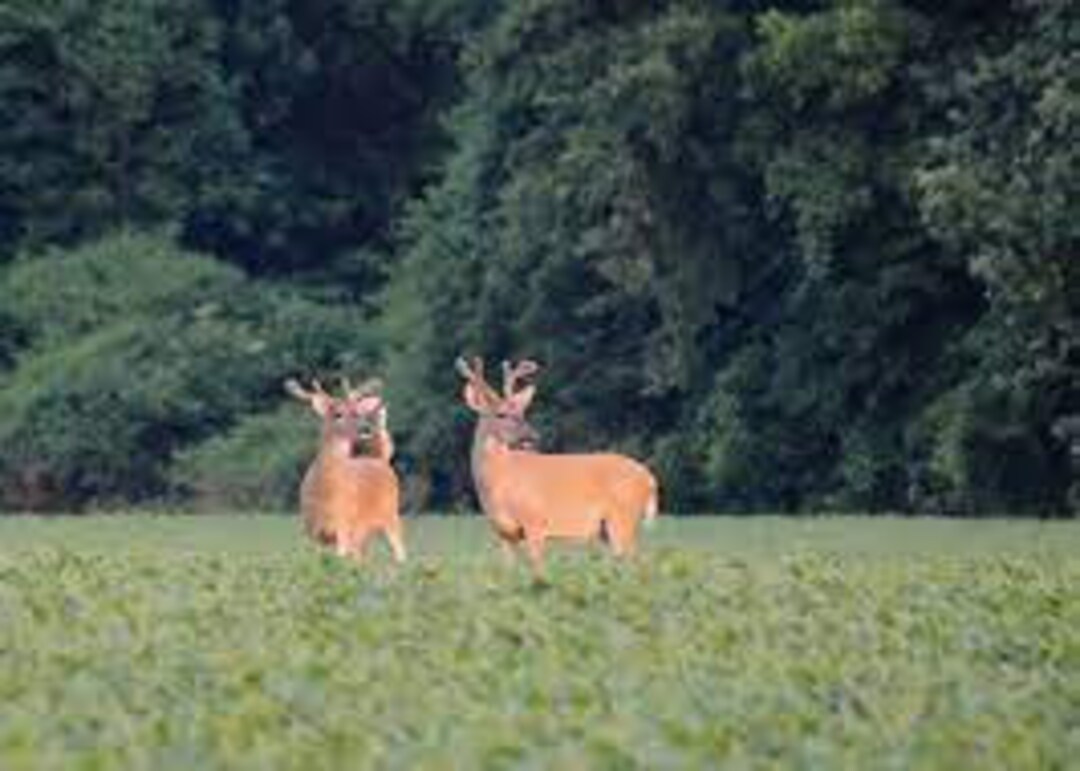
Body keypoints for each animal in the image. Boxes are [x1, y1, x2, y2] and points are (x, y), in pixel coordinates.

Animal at [285, 376, 406, 563]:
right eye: (338, 414)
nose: (366, 429)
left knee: (400, 553)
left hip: (390, 516)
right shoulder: (312, 532)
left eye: (357, 412)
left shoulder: (344, 527)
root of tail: (381, 460)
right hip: (363, 535)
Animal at [456, 356, 659, 577]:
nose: (532, 437)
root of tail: (650, 479)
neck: (499, 480)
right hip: (608, 528)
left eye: (521, 411)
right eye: (501, 414)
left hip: (623, 519)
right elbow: (508, 572)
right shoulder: (504, 533)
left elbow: (538, 570)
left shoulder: (535, 522)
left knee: (636, 565)